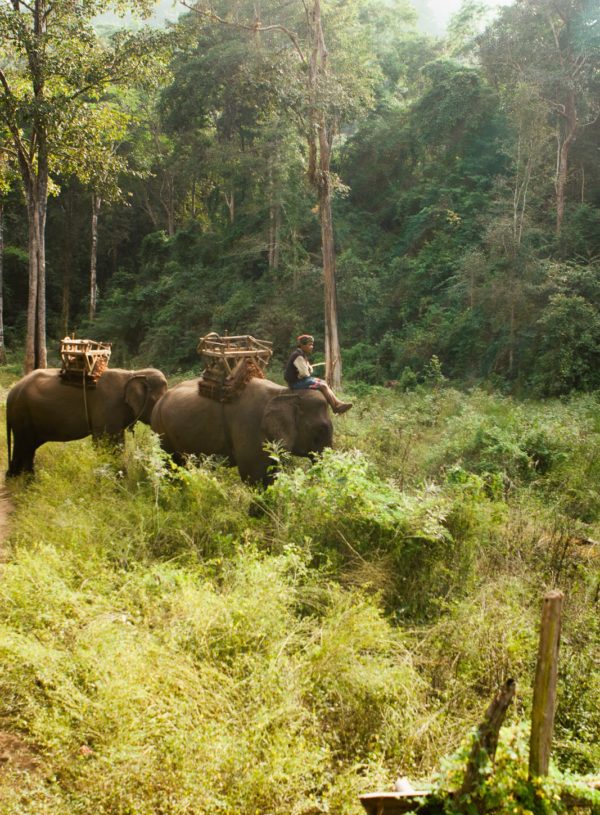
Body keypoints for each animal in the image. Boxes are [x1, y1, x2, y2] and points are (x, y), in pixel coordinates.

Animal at [5, 366, 169, 474]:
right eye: (157, 400)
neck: (134, 373)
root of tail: (11, 393)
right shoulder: (108, 406)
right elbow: (106, 443)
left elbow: (118, 442)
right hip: (22, 415)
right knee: (24, 445)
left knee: (28, 447)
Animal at [149, 376, 332, 484]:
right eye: (321, 429)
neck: (284, 391)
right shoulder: (250, 426)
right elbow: (254, 474)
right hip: (161, 431)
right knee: (170, 465)